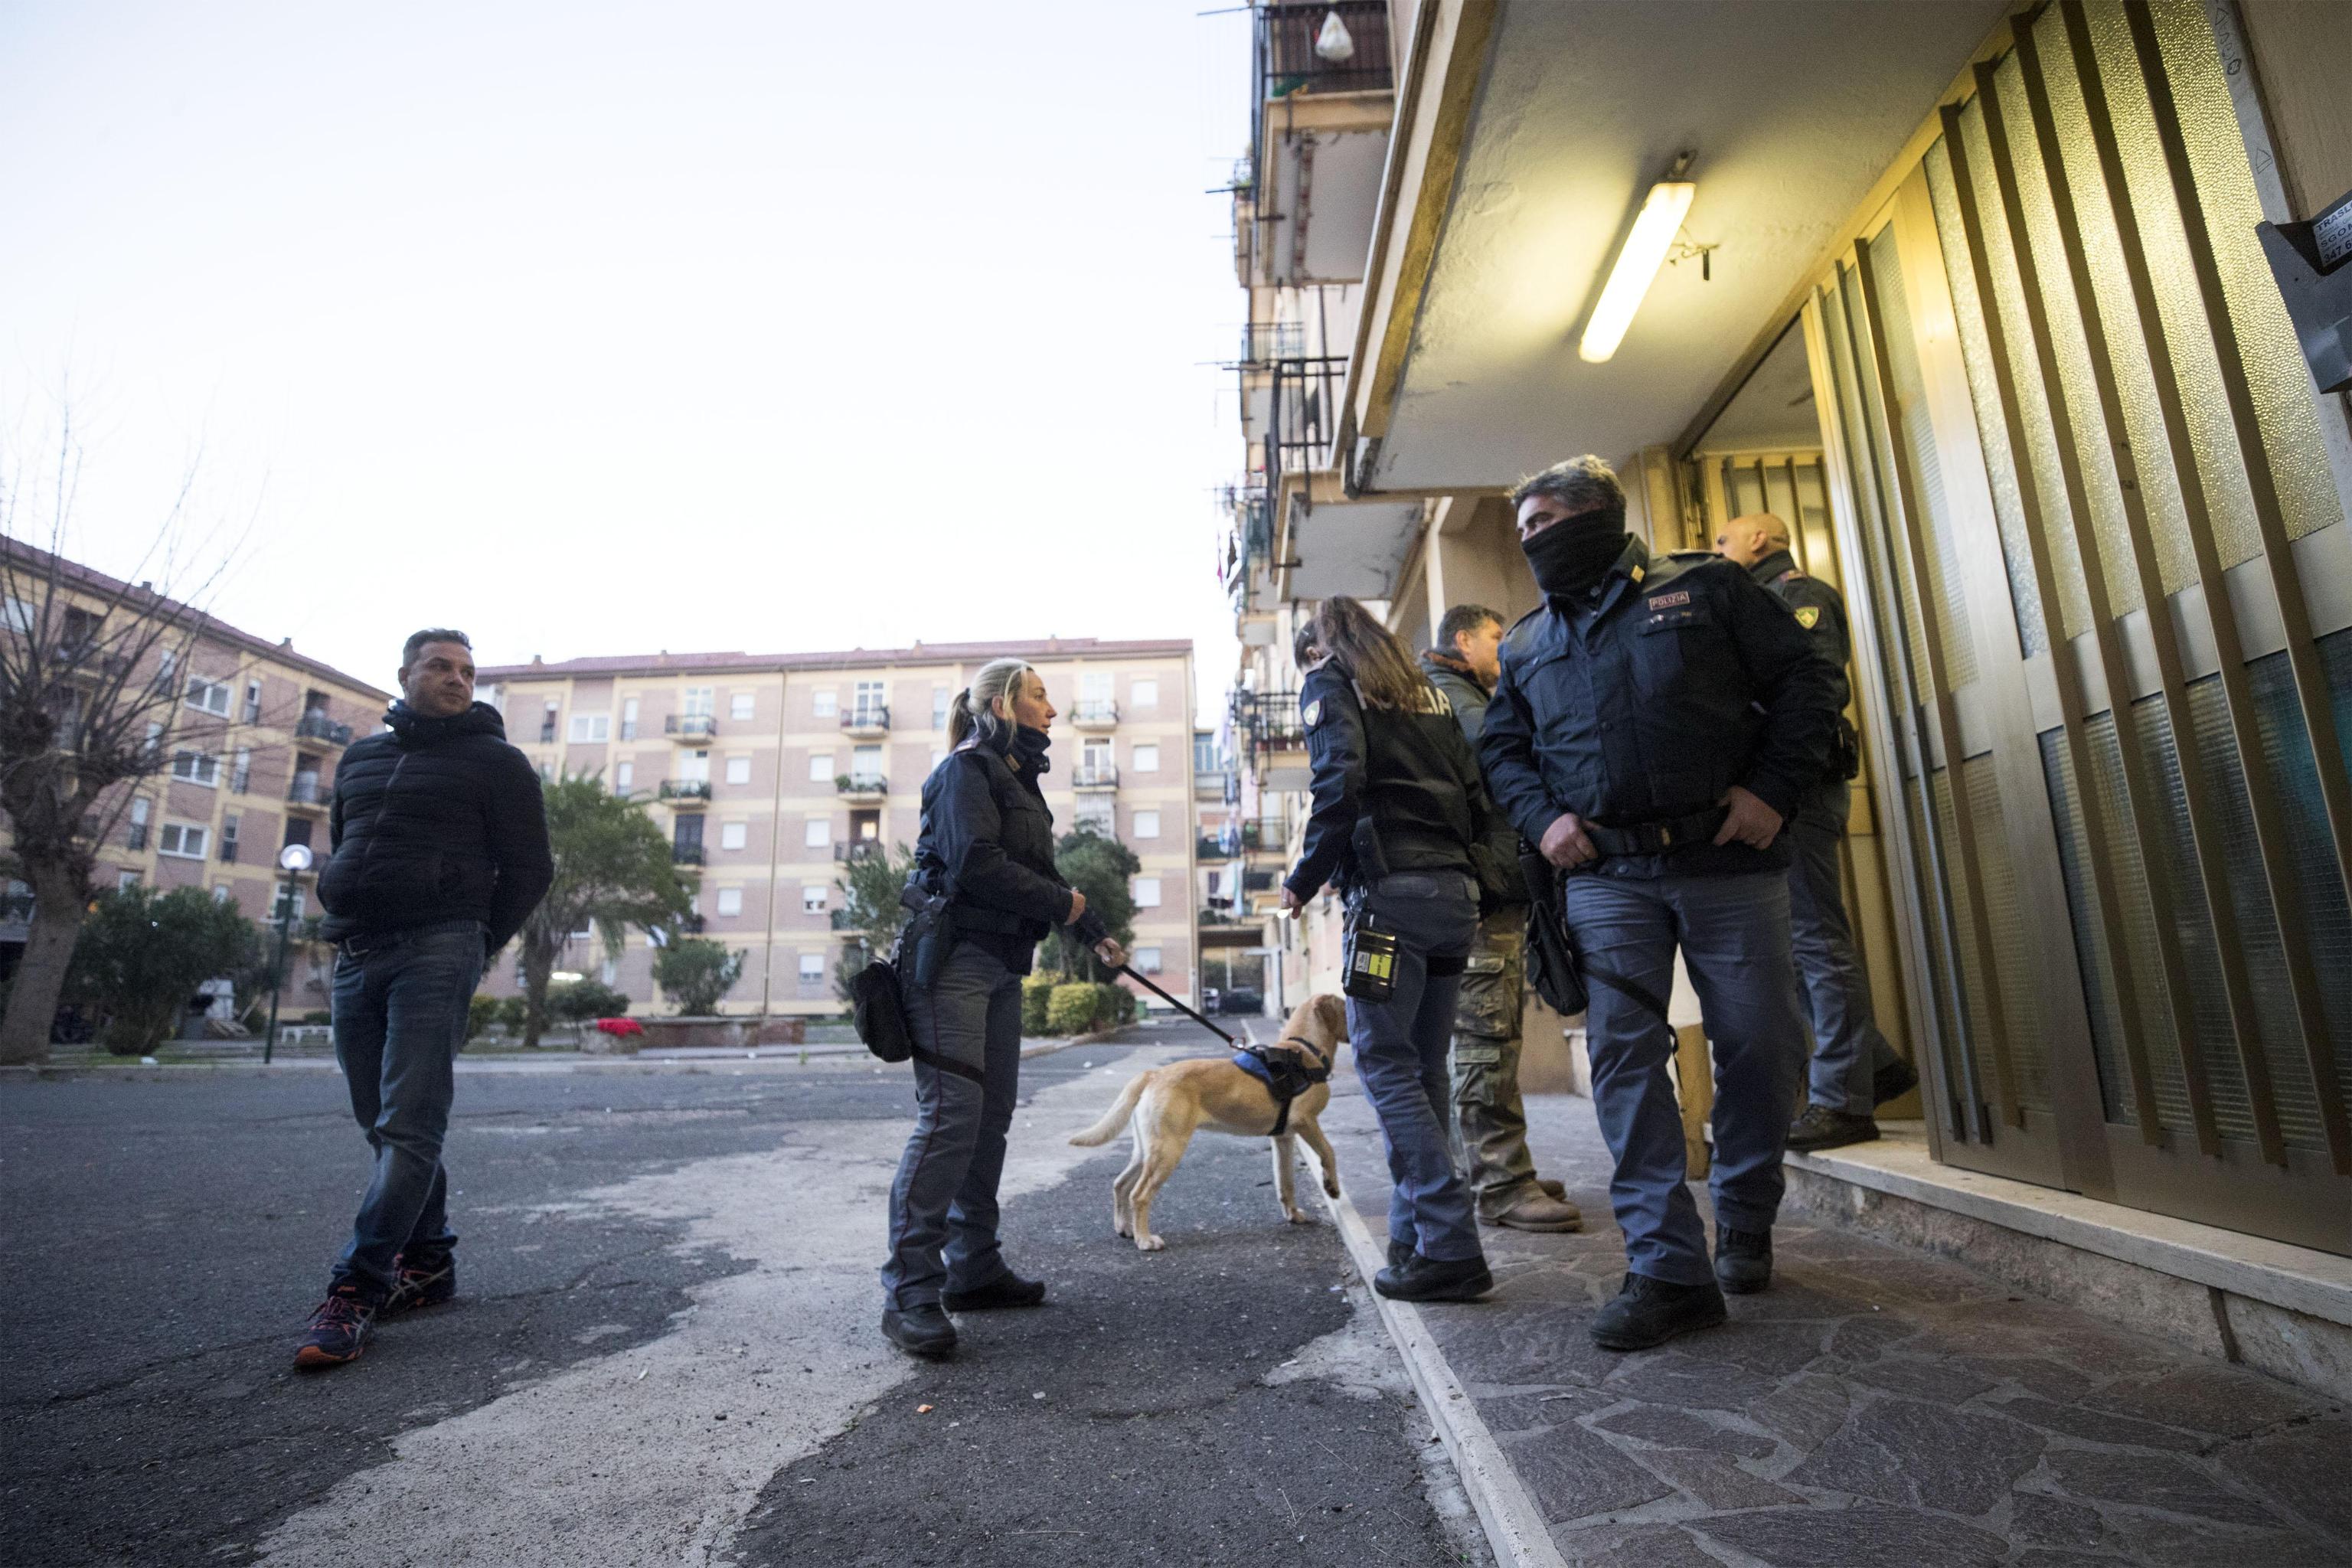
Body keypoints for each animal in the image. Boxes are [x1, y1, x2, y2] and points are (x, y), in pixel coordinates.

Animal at [1067, 991, 1345, 1250]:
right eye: (1345, 1006)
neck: (1305, 1049)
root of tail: (1153, 1074)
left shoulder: (1283, 1137)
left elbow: (1285, 1182)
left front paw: (1293, 1214)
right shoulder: (1305, 1121)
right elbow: (1329, 1151)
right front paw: (1332, 1186)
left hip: (1146, 1150)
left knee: (1120, 1184)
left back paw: (1126, 1228)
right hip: (1168, 1149)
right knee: (1139, 1194)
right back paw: (1145, 1240)